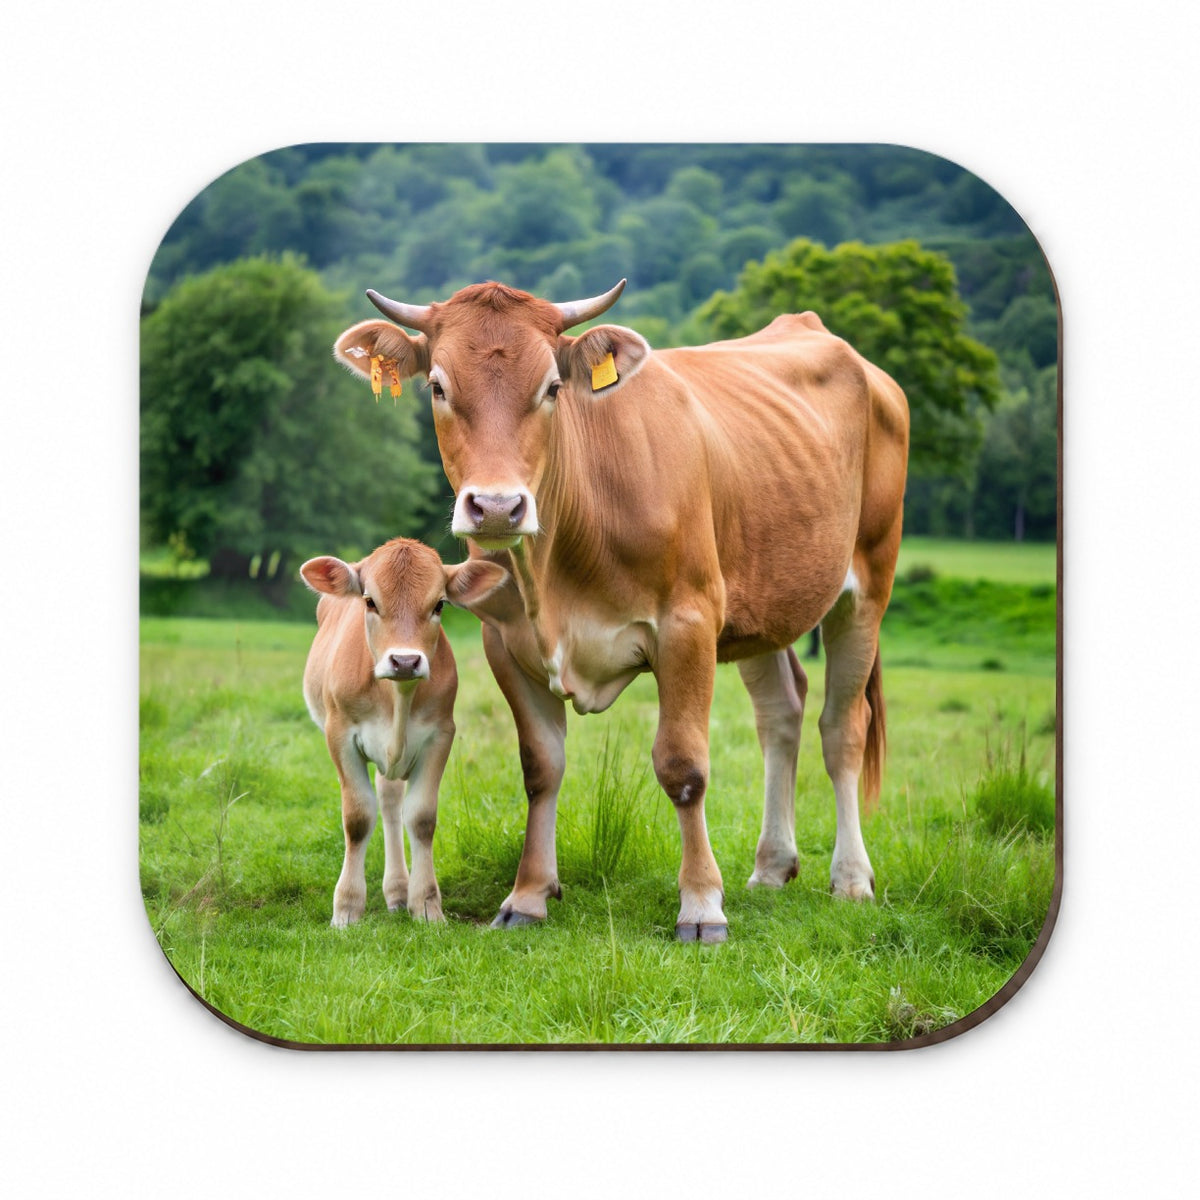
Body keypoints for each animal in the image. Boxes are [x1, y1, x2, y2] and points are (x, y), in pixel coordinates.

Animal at [300, 537, 507, 927]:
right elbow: (358, 817)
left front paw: (426, 905)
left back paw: (398, 890)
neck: (397, 696)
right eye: (369, 601)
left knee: (391, 800)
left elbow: (421, 817)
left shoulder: (440, 734)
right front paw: (347, 908)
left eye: (439, 604)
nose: (406, 661)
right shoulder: (339, 734)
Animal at [332, 279, 909, 942]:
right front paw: (528, 895)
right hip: (761, 603)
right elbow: (541, 767)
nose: (498, 507)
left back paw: (851, 878)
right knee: (781, 714)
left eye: (552, 387)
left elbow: (683, 766)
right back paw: (772, 865)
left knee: (842, 728)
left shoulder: (688, 625)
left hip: (866, 587)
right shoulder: (505, 642)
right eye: (437, 387)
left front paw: (701, 906)